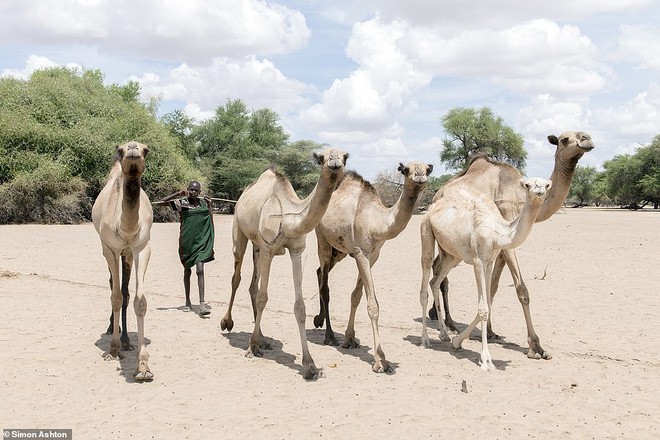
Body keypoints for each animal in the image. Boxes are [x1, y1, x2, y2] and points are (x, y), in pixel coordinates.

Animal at [91, 141, 153, 382]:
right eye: (120, 149)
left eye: (146, 150)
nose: (133, 148)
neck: (125, 228)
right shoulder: (110, 248)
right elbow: (115, 297)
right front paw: (113, 349)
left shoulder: (141, 248)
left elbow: (138, 300)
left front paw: (143, 366)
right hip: (110, 251)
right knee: (113, 286)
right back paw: (112, 331)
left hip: (127, 254)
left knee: (126, 291)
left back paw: (126, 340)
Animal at [220, 148, 348, 378]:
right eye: (321, 158)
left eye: (346, 156)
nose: (335, 163)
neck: (288, 219)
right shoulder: (269, 250)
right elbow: (263, 297)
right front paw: (251, 347)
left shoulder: (297, 251)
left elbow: (299, 306)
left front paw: (310, 365)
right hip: (239, 232)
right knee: (236, 276)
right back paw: (228, 323)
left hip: (257, 245)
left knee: (252, 285)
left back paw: (263, 339)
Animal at [314, 162, 434, 374]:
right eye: (406, 170)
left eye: (428, 169)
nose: (420, 176)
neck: (376, 222)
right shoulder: (361, 252)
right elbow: (373, 305)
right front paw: (381, 360)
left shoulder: (373, 255)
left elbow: (356, 295)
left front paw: (350, 339)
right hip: (323, 240)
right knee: (325, 285)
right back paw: (329, 336)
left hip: (340, 250)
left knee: (320, 272)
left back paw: (318, 321)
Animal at [420, 174, 556, 370]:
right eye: (527, 185)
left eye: (546, 185)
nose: (539, 191)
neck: (497, 232)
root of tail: (431, 208)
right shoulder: (478, 261)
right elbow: (483, 308)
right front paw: (485, 359)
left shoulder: (489, 261)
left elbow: (488, 303)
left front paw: (457, 341)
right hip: (426, 230)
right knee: (425, 279)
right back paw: (425, 339)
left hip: (452, 255)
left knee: (435, 281)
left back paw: (444, 335)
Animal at [428, 130, 592, 358]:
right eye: (565, 140)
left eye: (583, 134)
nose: (587, 139)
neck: (520, 195)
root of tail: (437, 193)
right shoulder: (505, 231)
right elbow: (521, 289)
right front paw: (536, 346)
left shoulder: (500, 245)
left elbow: (493, 287)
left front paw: (490, 331)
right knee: (441, 274)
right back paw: (449, 324)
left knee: (438, 267)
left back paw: (437, 316)